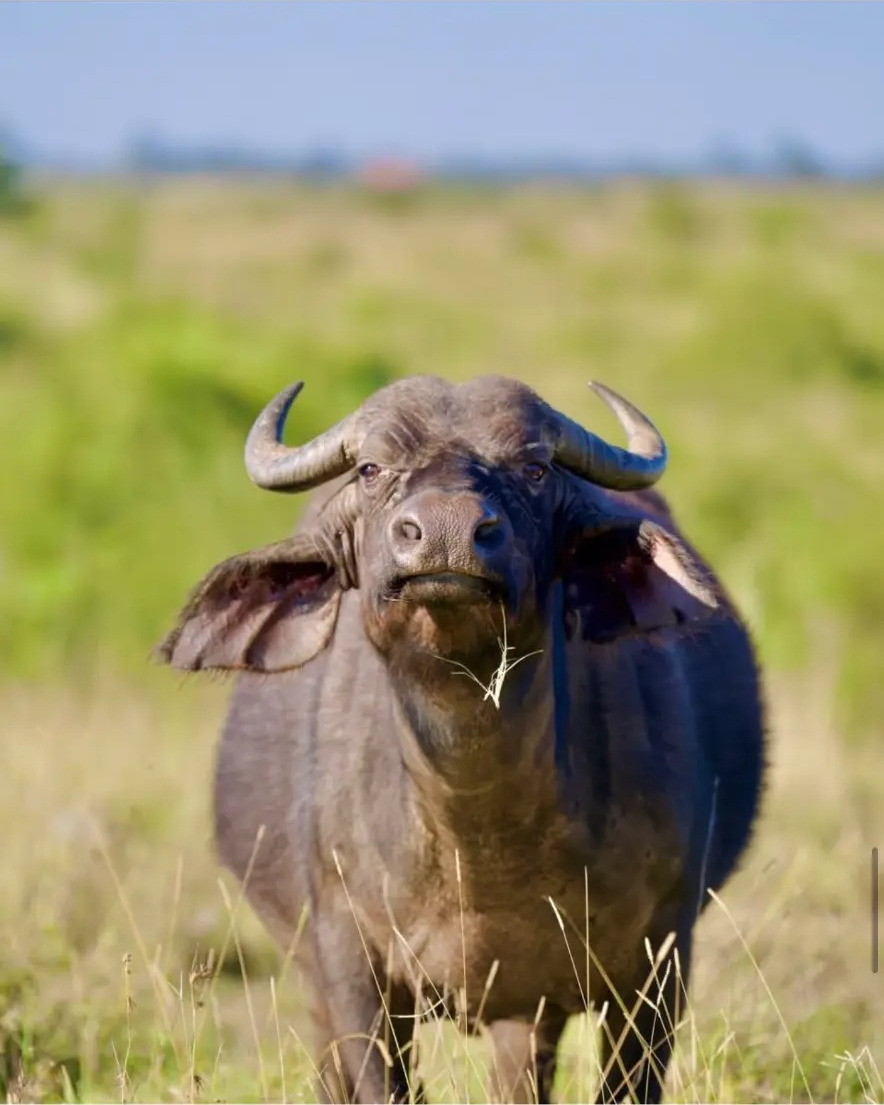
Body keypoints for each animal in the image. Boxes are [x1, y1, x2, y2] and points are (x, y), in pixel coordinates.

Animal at [160, 375, 765, 1104]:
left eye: (535, 468)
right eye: (370, 468)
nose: (447, 531)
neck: (480, 843)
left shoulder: (658, 963)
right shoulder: (352, 972)